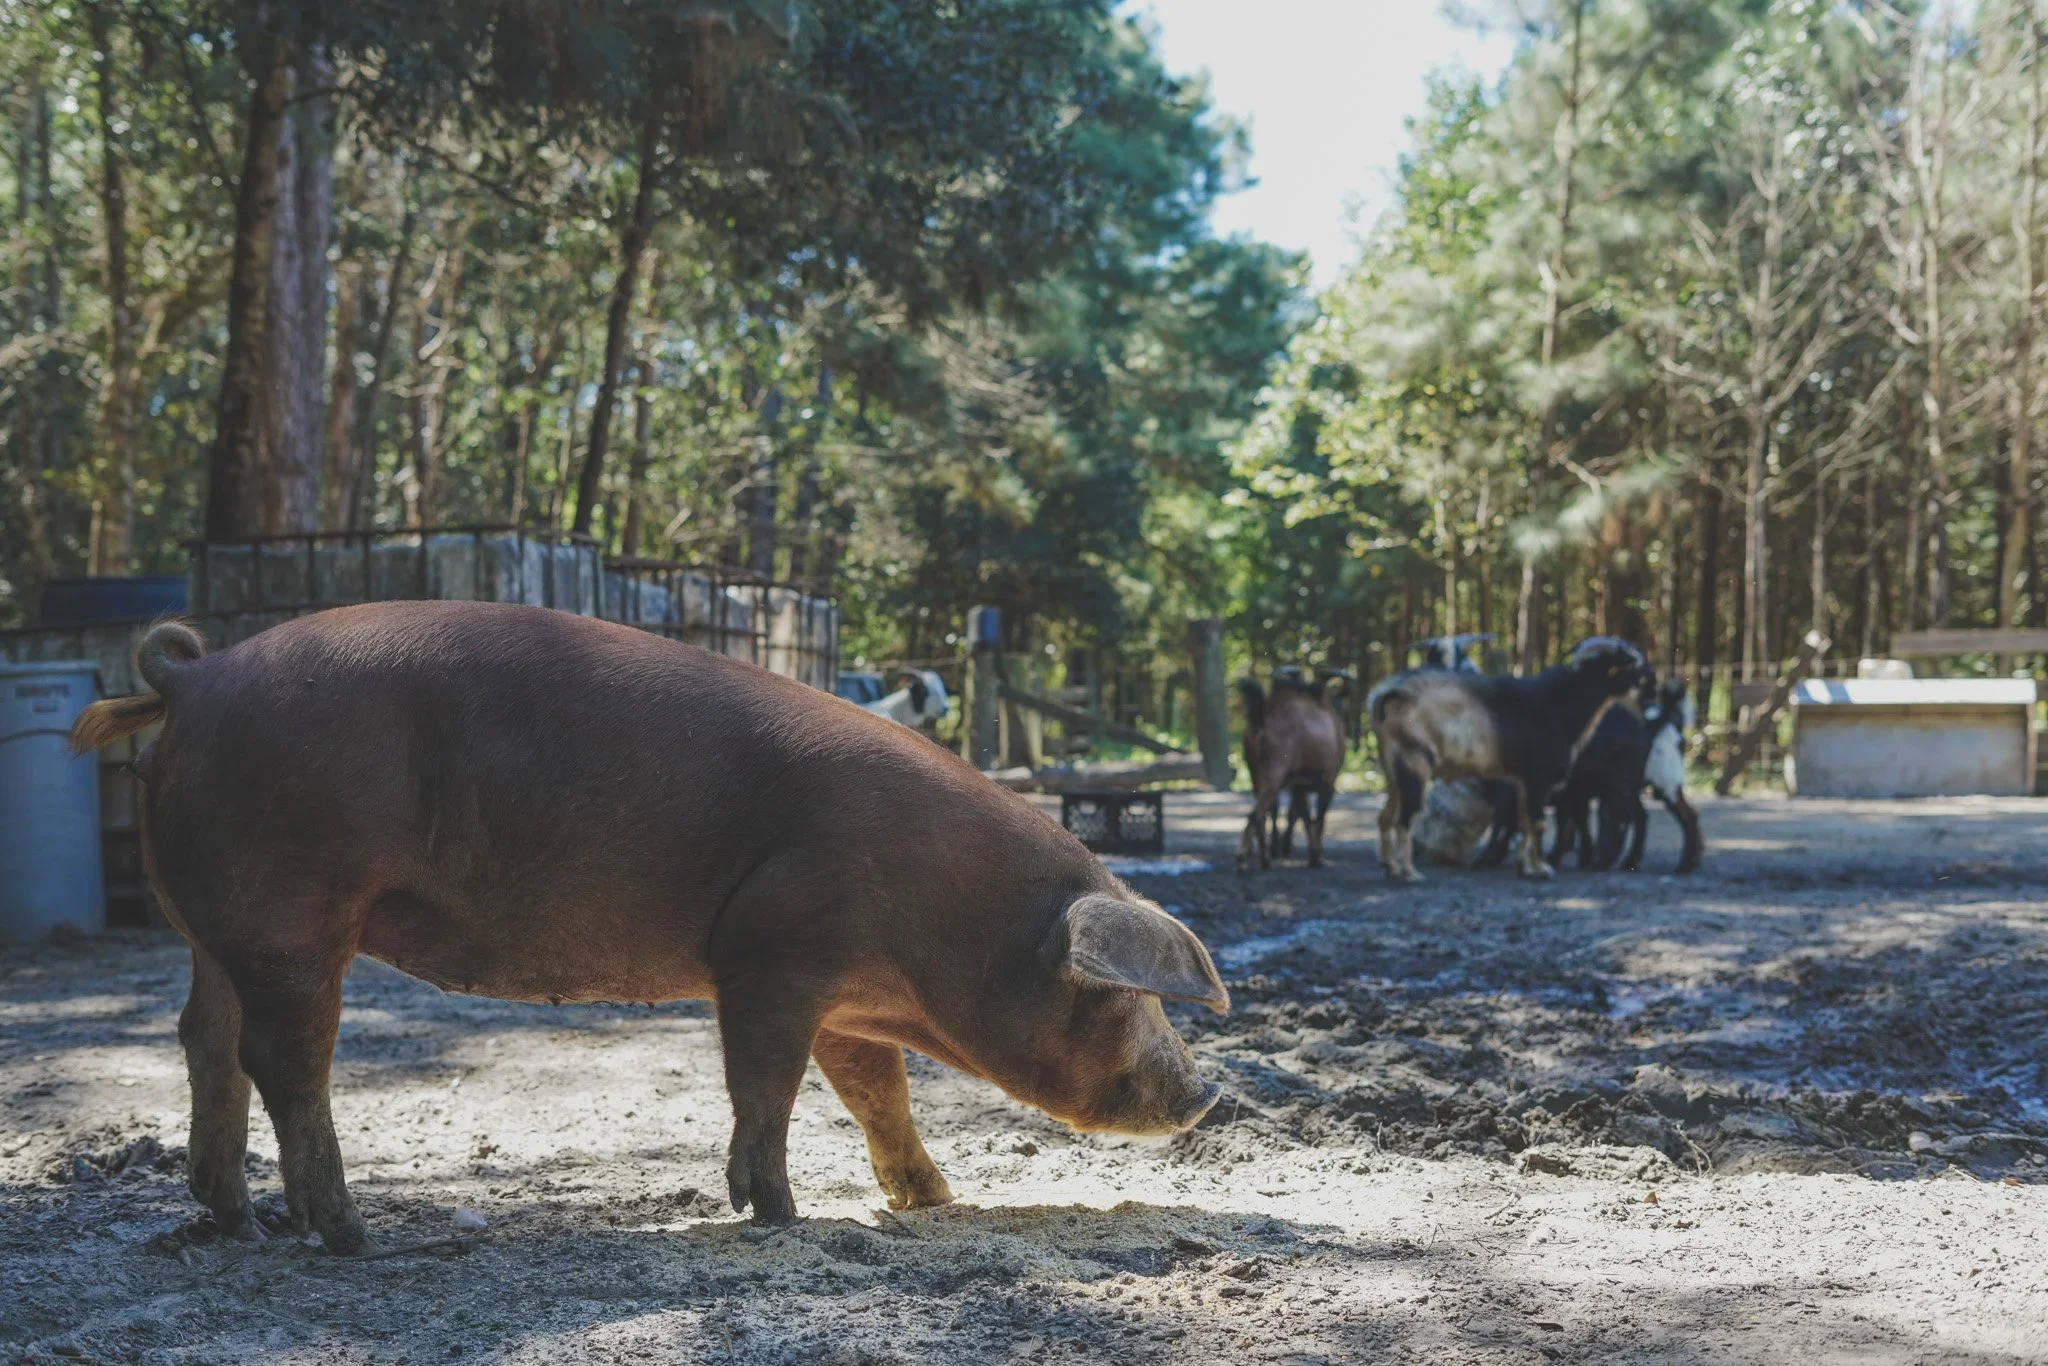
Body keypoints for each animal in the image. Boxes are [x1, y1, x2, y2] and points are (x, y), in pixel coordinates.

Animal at [70, 604, 1228, 1253]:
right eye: (1119, 996)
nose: (1207, 1093)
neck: (949, 911)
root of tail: (193, 674)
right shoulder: (771, 951)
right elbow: (765, 1087)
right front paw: (780, 1218)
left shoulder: (844, 998)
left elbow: (876, 1096)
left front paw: (934, 1200)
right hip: (295, 910)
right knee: (282, 1057)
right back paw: (351, 1237)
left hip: (214, 924)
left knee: (204, 1040)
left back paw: (237, 1222)